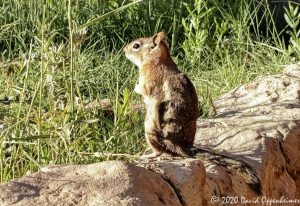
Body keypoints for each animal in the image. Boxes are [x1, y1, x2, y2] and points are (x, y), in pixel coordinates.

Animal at [123, 31, 260, 195]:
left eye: (136, 46)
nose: (124, 50)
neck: (158, 61)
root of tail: (182, 146)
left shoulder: (148, 82)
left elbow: (143, 90)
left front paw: (135, 87)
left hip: (148, 129)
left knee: (160, 151)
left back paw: (148, 156)